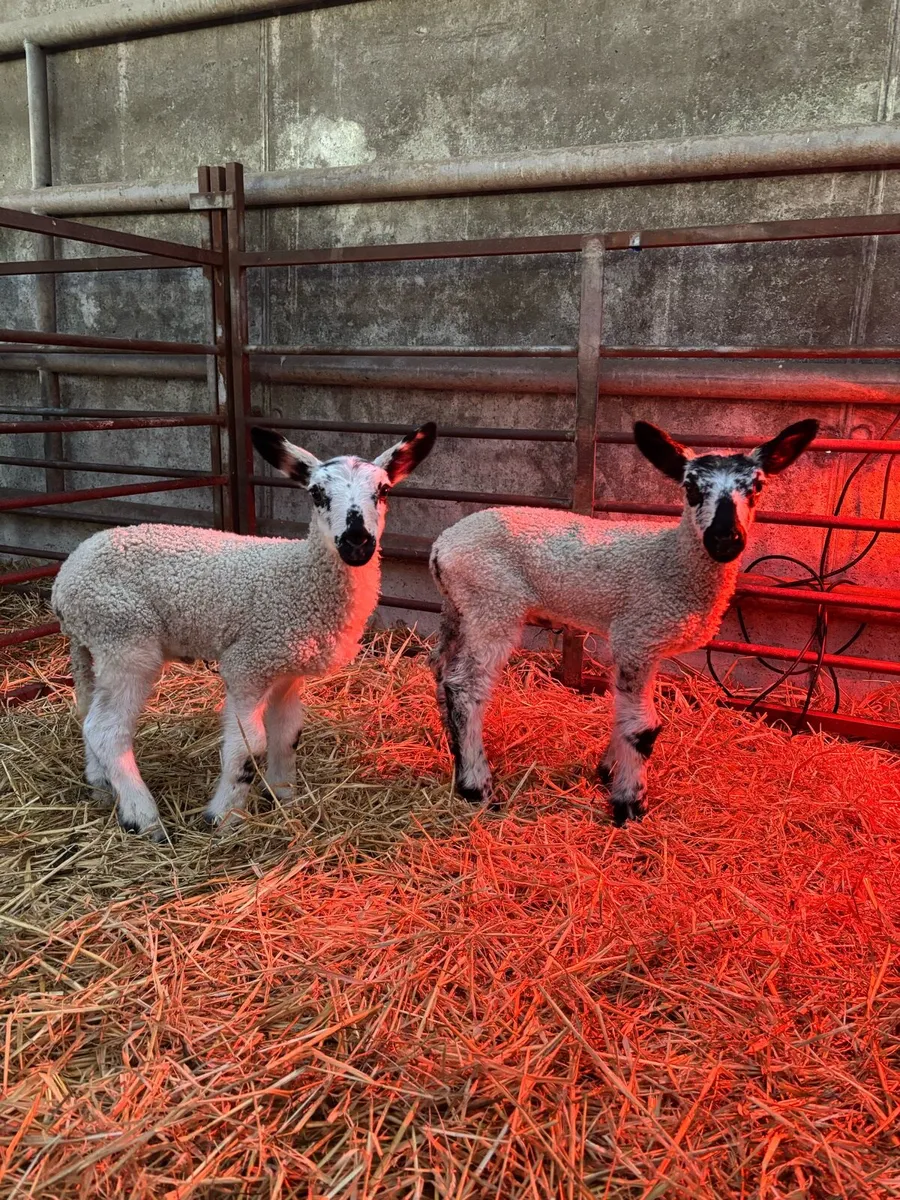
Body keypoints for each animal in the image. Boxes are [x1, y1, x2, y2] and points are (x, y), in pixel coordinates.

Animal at [51, 422, 437, 841]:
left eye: (383, 491)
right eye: (317, 493)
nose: (357, 542)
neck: (301, 577)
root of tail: (65, 578)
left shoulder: (286, 667)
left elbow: (288, 733)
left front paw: (284, 797)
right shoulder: (249, 662)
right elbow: (250, 746)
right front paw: (223, 818)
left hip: (95, 643)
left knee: (89, 714)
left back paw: (102, 789)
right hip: (125, 637)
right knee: (107, 730)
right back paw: (144, 817)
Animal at [429, 418, 818, 826]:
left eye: (757, 487)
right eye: (691, 488)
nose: (725, 538)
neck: (671, 559)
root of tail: (442, 546)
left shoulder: (644, 641)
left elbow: (624, 710)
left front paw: (608, 771)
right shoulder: (638, 633)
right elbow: (643, 727)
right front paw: (630, 805)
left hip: (460, 606)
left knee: (441, 668)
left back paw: (454, 751)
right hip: (494, 602)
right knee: (466, 687)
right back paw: (477, 787)